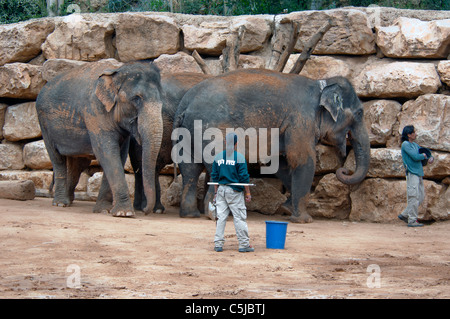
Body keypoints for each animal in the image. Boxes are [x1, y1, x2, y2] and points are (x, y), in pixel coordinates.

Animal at [35, 61, 164, 218]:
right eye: (136, 98)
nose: (145, 211)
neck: (117, 71)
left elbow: (119, 154)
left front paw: (104, 210)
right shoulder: (95, 112)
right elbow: (106, 152)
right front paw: (124, 213)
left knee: (77, 163)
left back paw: (68, 200)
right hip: (44, 123)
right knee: (57, 158)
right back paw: (60, 203)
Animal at [172, 68, 370, 222]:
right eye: (360, 113)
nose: (344, 170)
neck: (321, 84)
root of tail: (184, 106)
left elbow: (280, 163)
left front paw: (286, 209)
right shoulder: (301, 119)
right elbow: (302, 159)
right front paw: (304, 220)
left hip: (188, 132)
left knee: (190, 169)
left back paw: (192, 215)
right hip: (209, 129)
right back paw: (216, 215)